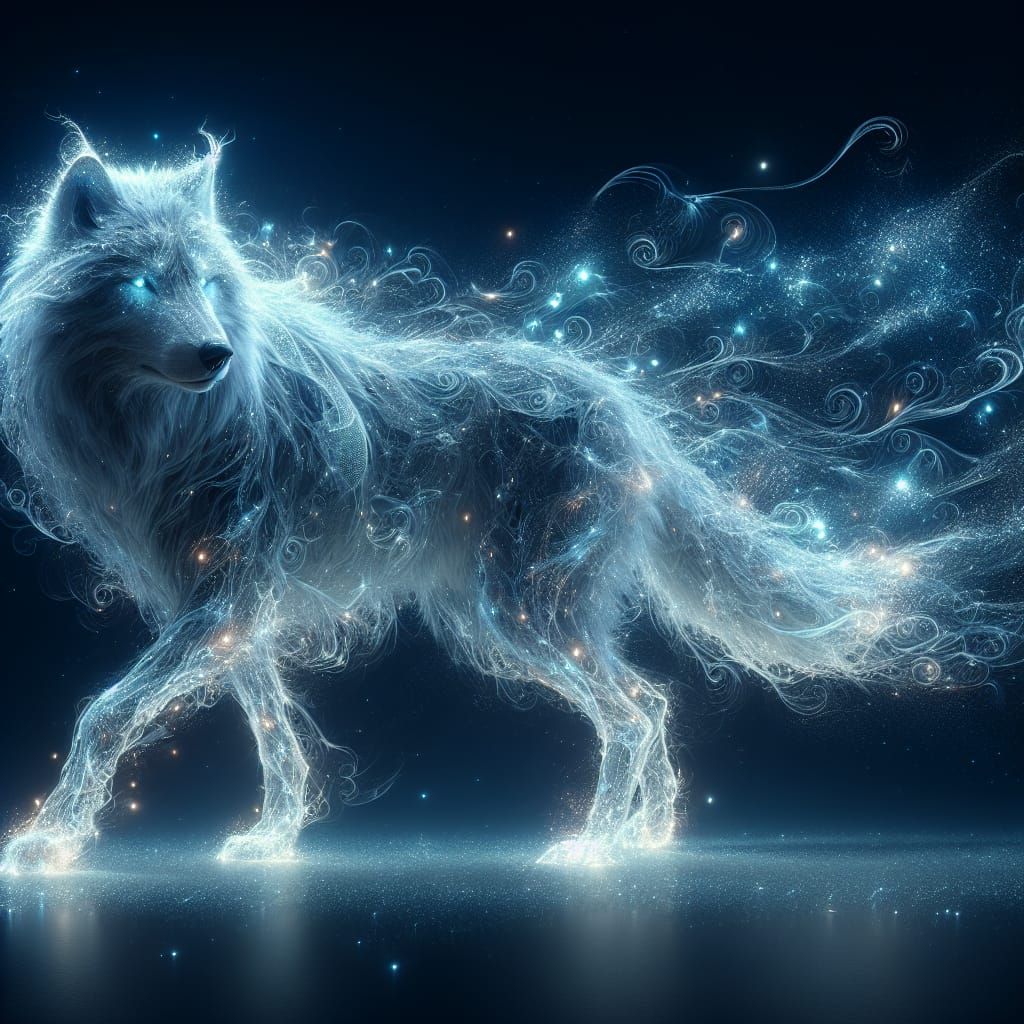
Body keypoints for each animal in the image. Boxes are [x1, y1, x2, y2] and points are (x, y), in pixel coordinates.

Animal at [0, 132, 1014, 872]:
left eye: (211, 284)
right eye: (143, 283)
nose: (214, 353)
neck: (157, 431)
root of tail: (630, 412)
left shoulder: (222, 603)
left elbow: (104, 714)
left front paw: (47, 842)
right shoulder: (225, 607)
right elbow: (273, 732)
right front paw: (272, 839)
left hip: (515, 617)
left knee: (633, 709)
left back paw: (597, 849)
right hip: (524, 617)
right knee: (652, 700)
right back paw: (649, 838)